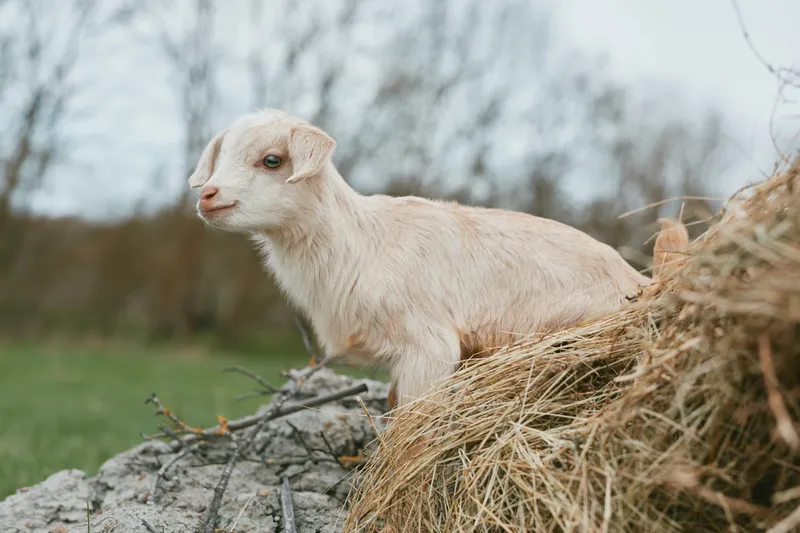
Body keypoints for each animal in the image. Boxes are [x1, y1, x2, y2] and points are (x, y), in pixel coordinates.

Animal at [188, 109, 657, 411]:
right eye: (220, 157)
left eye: (272, 160)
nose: (207, 195)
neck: (359, 244)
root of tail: (639, 280)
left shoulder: (427, 348)